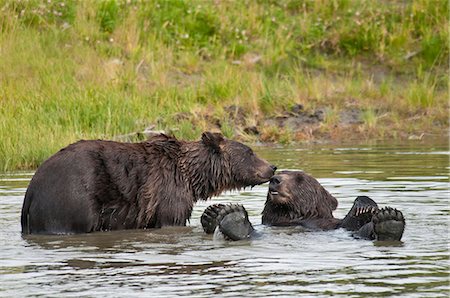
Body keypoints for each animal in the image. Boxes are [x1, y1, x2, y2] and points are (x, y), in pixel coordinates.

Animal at [22, 132, 278, 234]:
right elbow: (172, 219)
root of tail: (32, 189)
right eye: (250, 152)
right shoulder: (168, 192)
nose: (272, 167)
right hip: (70, 201)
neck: (192, 176)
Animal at [202, 170, 406, 242]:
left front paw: (364, 205)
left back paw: (390, 220)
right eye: (280, 172)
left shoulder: (329, 223)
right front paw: (213, 212)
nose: (275, 180)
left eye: (299, 178)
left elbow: (349, 222)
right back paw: (231, 218)